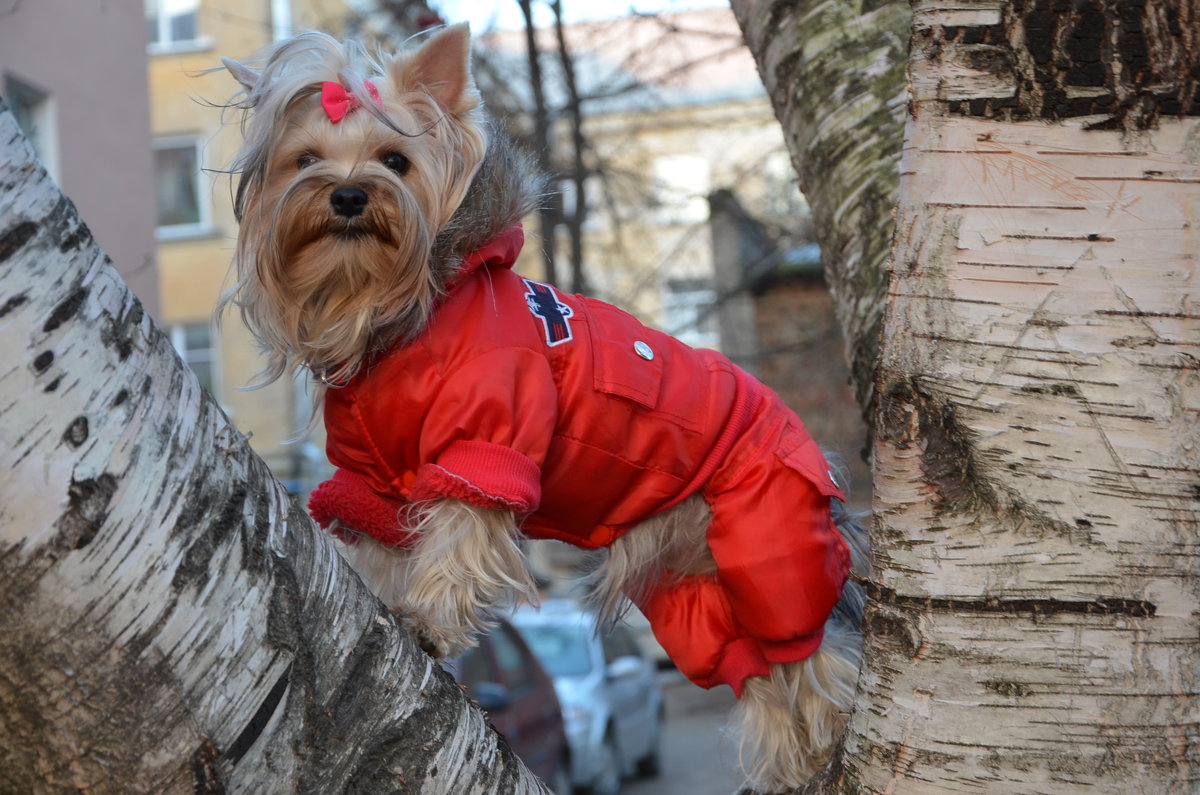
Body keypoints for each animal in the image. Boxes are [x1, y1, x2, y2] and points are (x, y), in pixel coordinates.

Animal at [220, 23, 868, 792]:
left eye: (395, 161)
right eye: (306, 160)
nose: (348, 194)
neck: (398, 311)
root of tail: (808, 441)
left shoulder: (487, 443)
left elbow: (459, 538)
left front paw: (429, 622)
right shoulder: (369, 479)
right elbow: (380, 541)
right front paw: (387, 603)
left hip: (772, 546)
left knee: (816, 658)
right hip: (697, 593)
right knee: (761, 675)